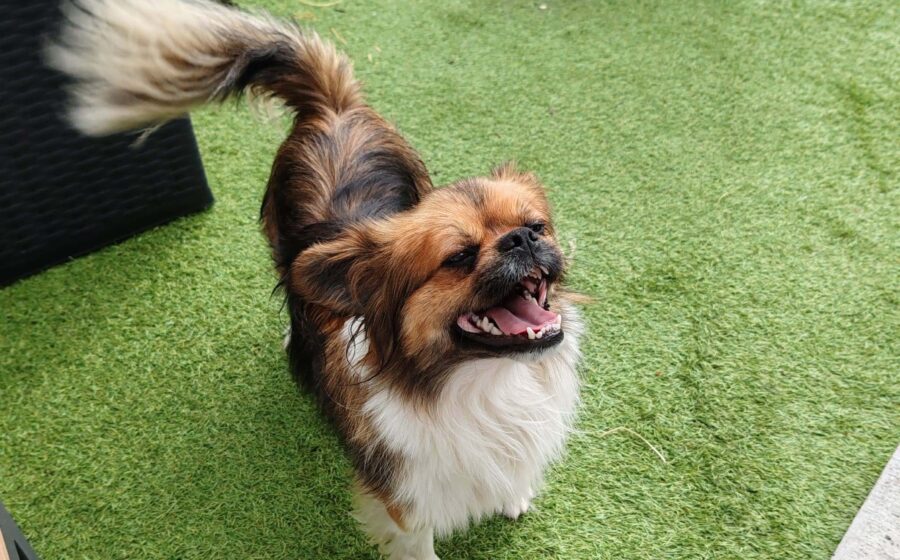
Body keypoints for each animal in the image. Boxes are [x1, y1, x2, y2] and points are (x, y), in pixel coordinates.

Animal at [48, 1, 583, 557]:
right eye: (458, 256)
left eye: (537, 226)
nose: (521, 239)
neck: (485, 384)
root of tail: (333, 106)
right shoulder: (404, 502)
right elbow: (419, 543)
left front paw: (514, 494)